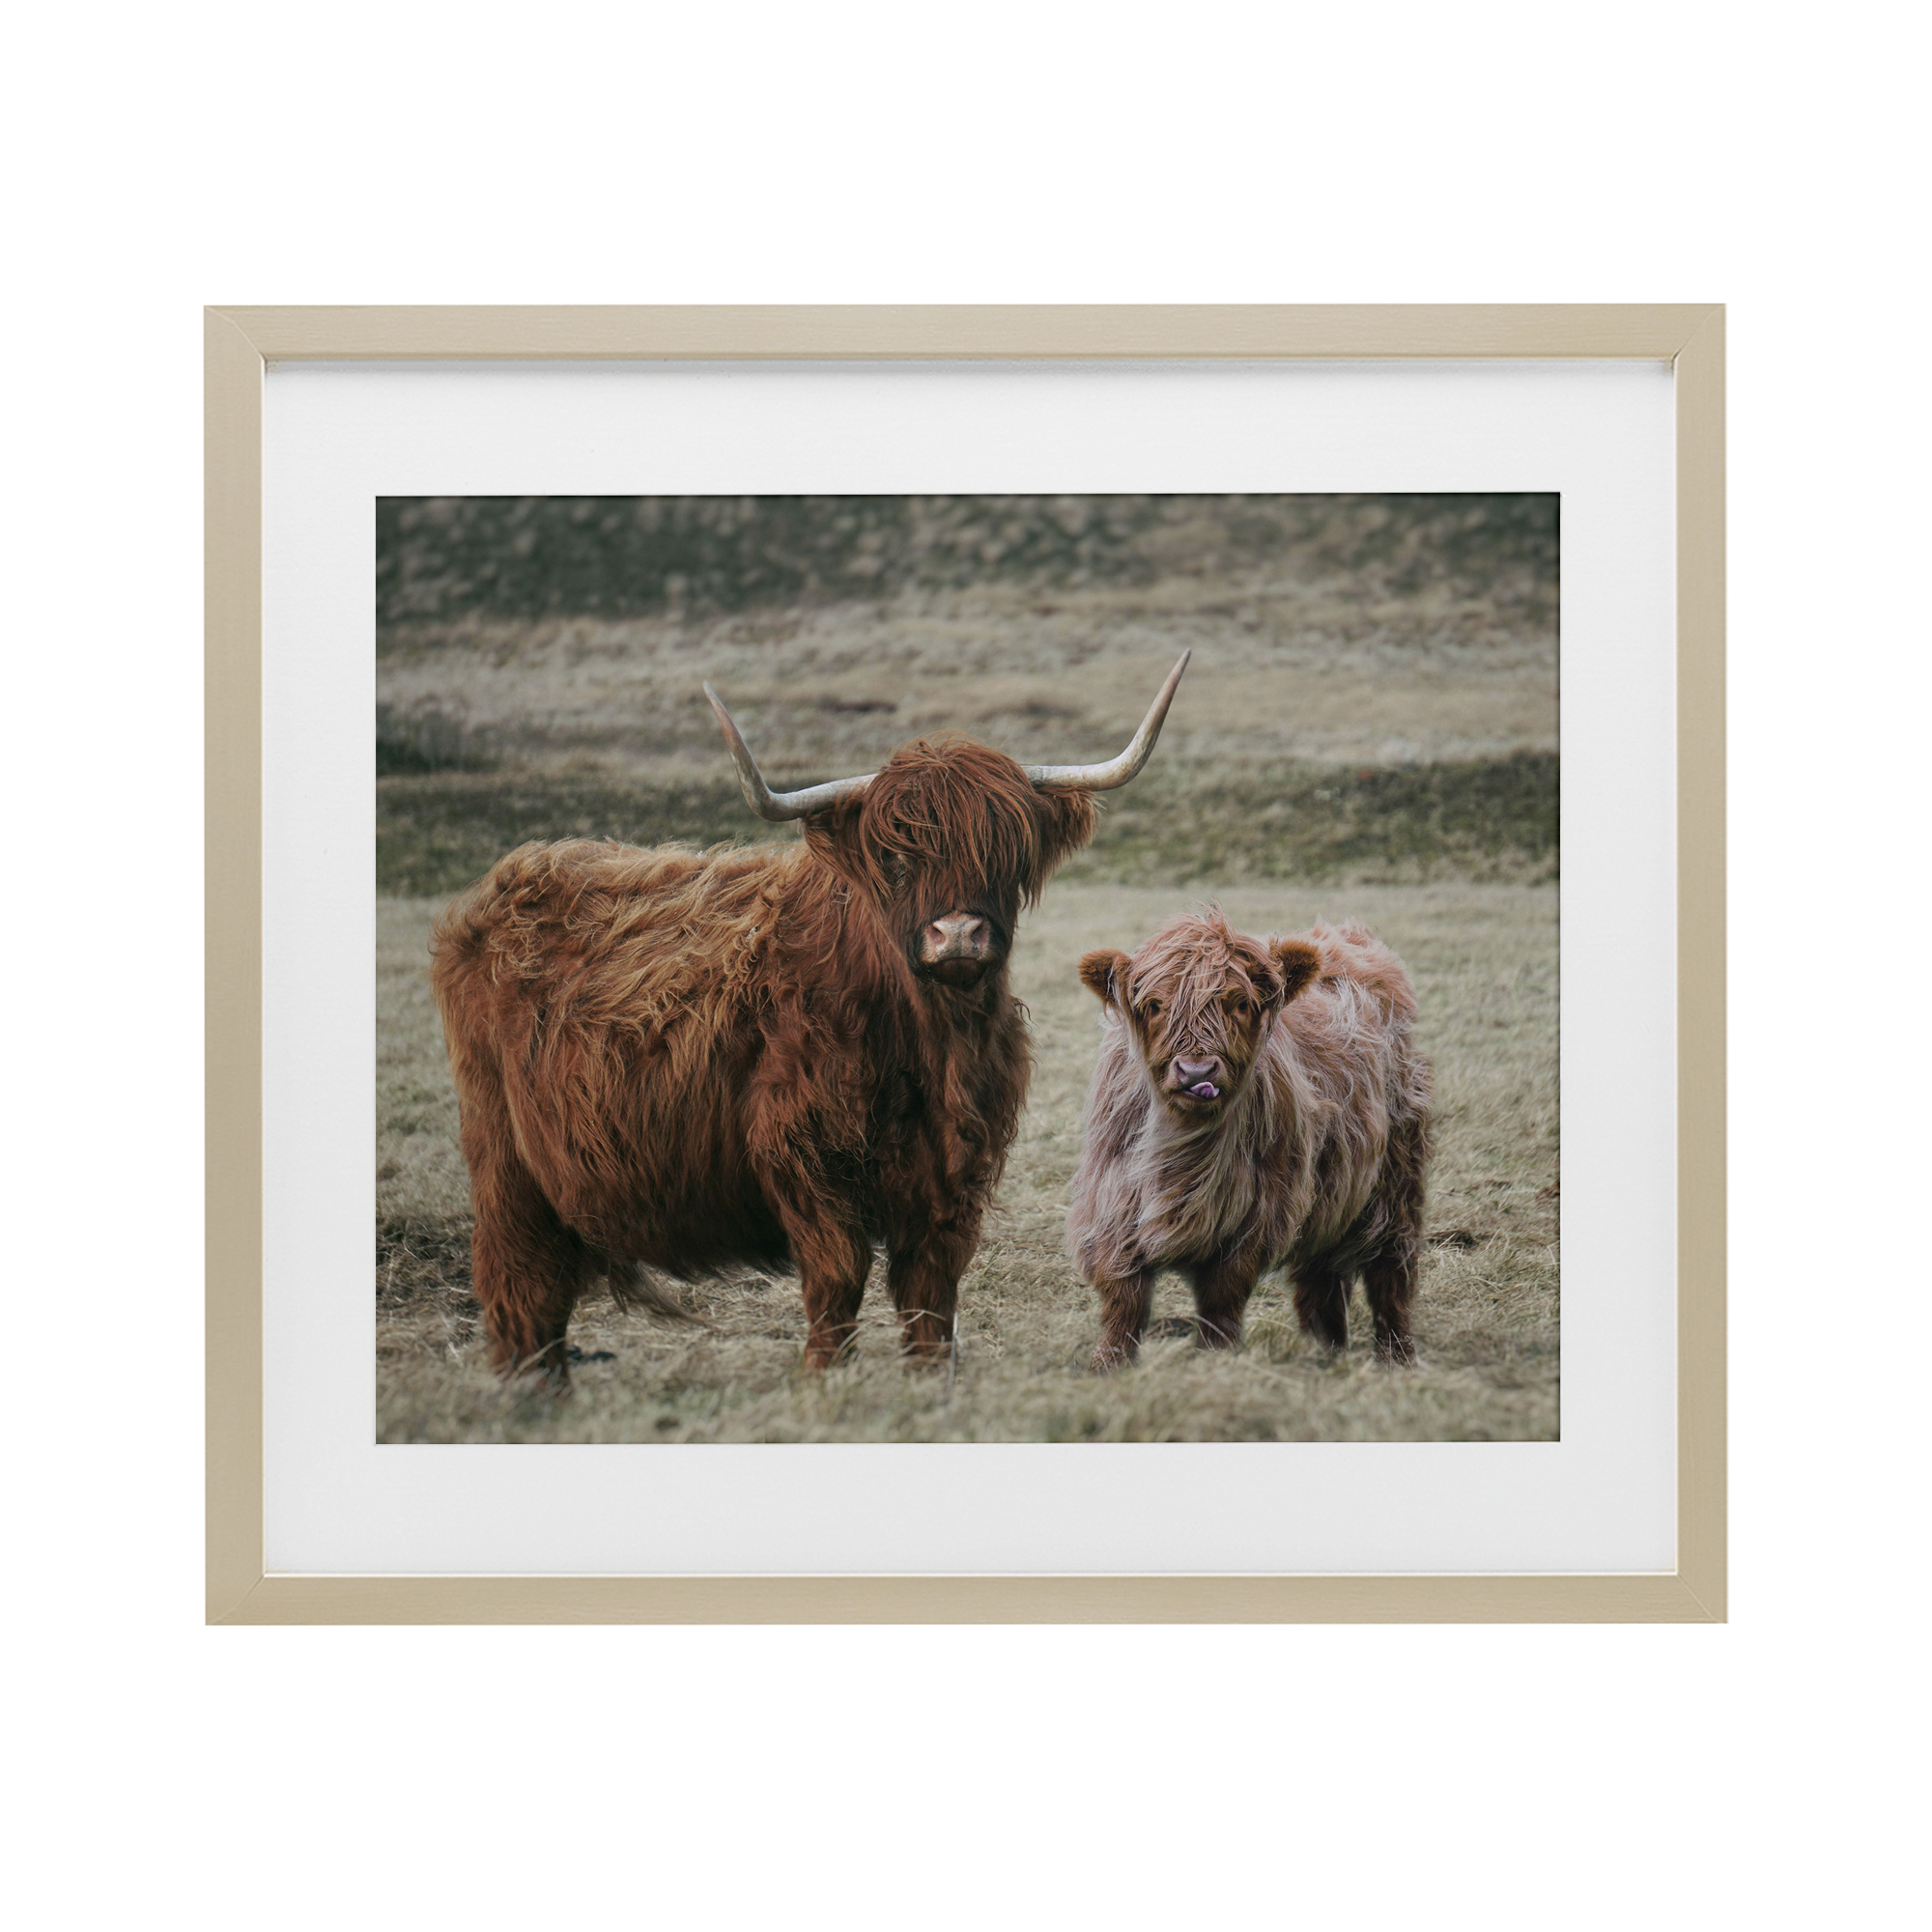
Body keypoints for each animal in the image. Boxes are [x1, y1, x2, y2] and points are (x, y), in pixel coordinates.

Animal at [429, 655, 1191, 1388]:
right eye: (895, 855)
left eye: (1008, 851)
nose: (958, 935)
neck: (928, 1046)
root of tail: (508, 879)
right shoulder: (805, 1154)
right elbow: (837, 1278)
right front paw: (823, 1379)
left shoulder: (954, 1171)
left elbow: (930, 1290)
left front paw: (928, 1380)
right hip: (503, 1153)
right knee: (520, 1279)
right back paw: (530, 1396)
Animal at [1067, 910, 1432, 1369]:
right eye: (1154, 1005)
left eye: (1240, 1002)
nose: (1196, 1073)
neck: (1185, 1152)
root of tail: (1345, 935)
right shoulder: (1112, 1205)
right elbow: (1123, 1299)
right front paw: (1108, 1365)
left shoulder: (1255, 1218)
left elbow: (1221, 1300)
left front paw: (1213, 1360)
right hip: (1331, 1189)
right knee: (1321, 1276)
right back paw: (1323, 1352)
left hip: (1397, 1177)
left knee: (1391, 1270)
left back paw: (1395, 1357)